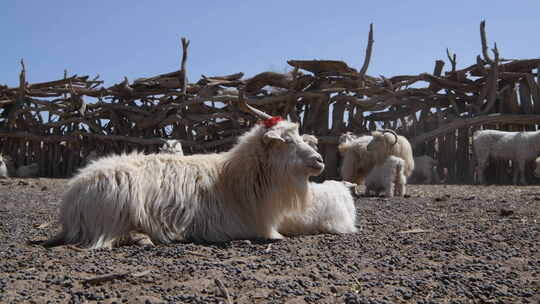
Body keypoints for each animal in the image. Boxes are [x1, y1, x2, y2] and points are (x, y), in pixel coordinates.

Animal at [44, 98, 324, 248]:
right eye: (286, 140)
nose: (319, 160)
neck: (232, 179)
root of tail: (69, 203)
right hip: (115, 206)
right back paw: (144, 237)